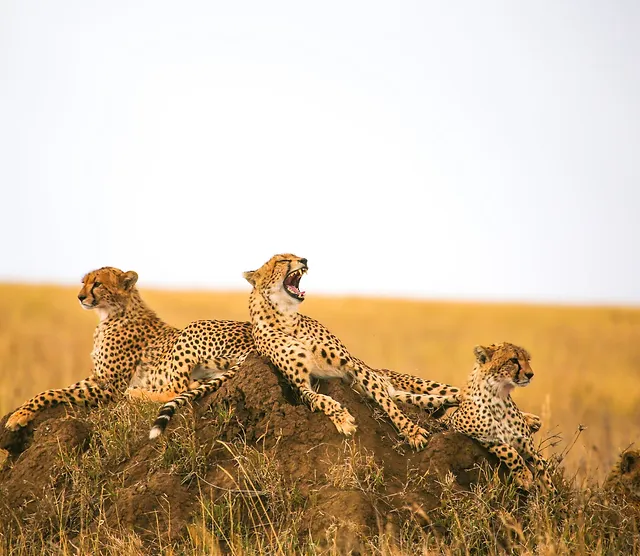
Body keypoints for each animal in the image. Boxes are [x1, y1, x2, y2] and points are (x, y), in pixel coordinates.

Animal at [4, 267, 254, 434]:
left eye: (97, 284)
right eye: (84, 282)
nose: (80, 297)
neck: (111, 314)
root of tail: (253, 338)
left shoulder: (110, 388)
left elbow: (53, 393)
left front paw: (17, 417)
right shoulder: (98, 377)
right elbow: (49, 390)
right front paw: (20, 412)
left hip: (191, 329)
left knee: (175, 389)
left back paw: (136, 393)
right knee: (188, 386)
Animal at [242, 253, 461, 450]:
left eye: (296, 255)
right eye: (282, 260)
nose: (304, 260)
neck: (285, 318)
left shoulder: (352, 366)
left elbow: (386, 404)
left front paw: (411, 431)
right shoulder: (300, 385)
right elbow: (319, 399)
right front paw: (343, 419)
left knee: (456, 392)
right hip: (410, 396)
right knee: (431, 400)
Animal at [444, 342, 553, 491]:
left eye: (528, 360)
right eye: (513, 360)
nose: (530, 374)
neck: (498, 396)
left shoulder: (529, 449)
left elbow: (546, 477)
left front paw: (552, 494)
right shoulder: (482, 437)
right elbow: (509, 451)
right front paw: (524, 476)